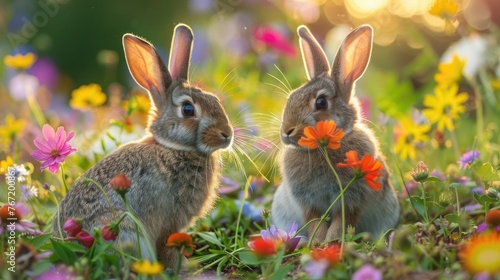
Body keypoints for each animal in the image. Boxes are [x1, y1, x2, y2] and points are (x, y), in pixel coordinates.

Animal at [53, 23, 233, 268]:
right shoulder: (170, 222)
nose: (227, 134)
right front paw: (180, 267)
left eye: (214, 100)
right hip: (125, 228)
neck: (174, 147)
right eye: (188, 109)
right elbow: (169, 245)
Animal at [270, 25, 398, 244]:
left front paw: (331, 242)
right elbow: (314, 222)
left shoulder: (353, 197)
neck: (324, 149)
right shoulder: (308, 202)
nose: (286, 131)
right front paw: (318, 242)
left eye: (321, 102)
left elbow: (342, 221)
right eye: (291, 97)